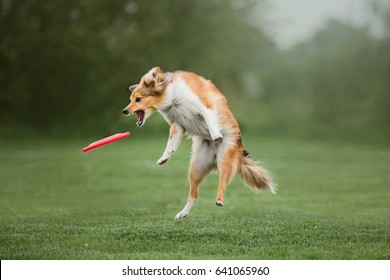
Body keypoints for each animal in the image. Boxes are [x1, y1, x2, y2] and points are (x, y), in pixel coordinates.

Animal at [122, 66, 274, 220]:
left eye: (138, 99)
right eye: (131, 99)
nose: (124, 111)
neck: (172, 98)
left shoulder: (203, 106)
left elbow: (209, 119)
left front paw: (215, 134)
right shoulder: (177, 125)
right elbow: (171, 143)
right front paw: (164, 157)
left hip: (224, 158)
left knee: (222, 182)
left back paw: (219, 200)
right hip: (195, 168)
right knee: (193, 195)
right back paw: (183, 213)